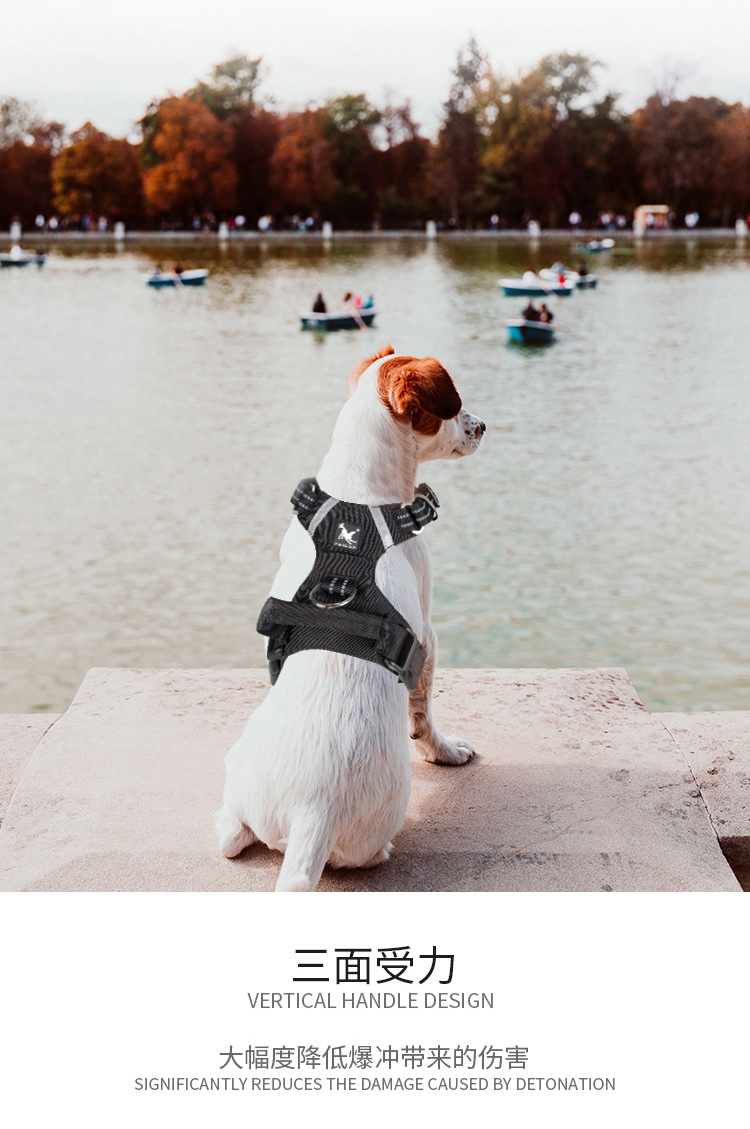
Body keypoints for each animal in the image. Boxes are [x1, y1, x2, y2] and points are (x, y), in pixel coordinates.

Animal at [216, 346, 485, 891]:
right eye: (455, 405)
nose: (484, 425)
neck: (358, 500)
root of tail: (311, 813)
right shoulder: (427, 632)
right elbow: (425, 712)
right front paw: (444, 751)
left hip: (239, 772)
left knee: (231, 835)